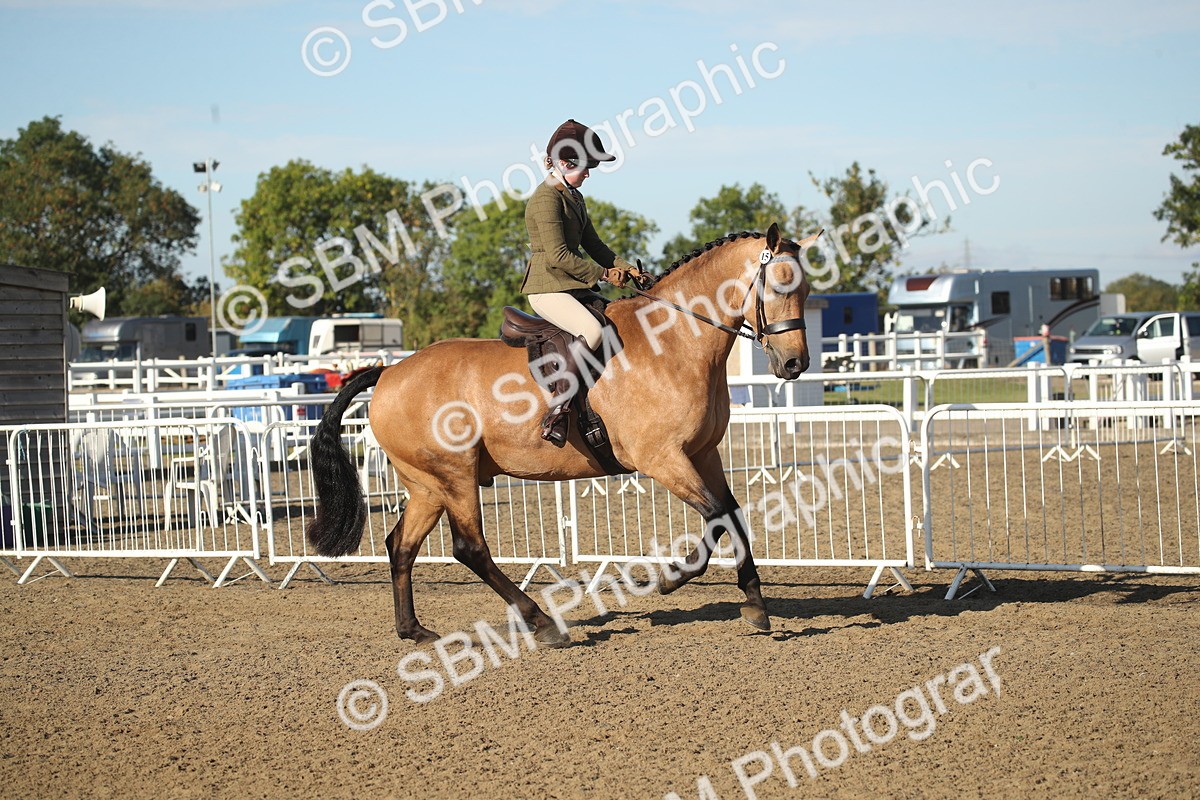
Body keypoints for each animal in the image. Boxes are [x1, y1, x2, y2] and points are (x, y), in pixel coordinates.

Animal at [306, 222, 814, 645]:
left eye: (807, 289)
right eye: (780, 286)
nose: (795, 364)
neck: (675, 340)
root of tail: (390, 372)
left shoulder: (705, 454)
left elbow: (732, 515)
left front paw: (755, 604)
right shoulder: (662, 459)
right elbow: (716, 516)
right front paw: (673, 578)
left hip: (428, 485)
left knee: (402, 547)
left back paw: (414, 630)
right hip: (455, 477)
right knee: (470, 549)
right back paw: (543, 623)